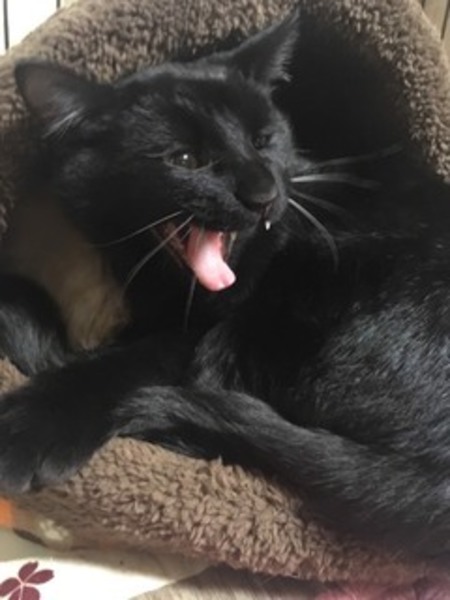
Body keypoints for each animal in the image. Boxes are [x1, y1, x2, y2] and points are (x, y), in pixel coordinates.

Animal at [1, 11, 450, 566]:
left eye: (262, 140)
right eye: (184, 158)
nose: (265, 193)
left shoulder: (195, 335)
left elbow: (120, 362)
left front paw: (33, 422)